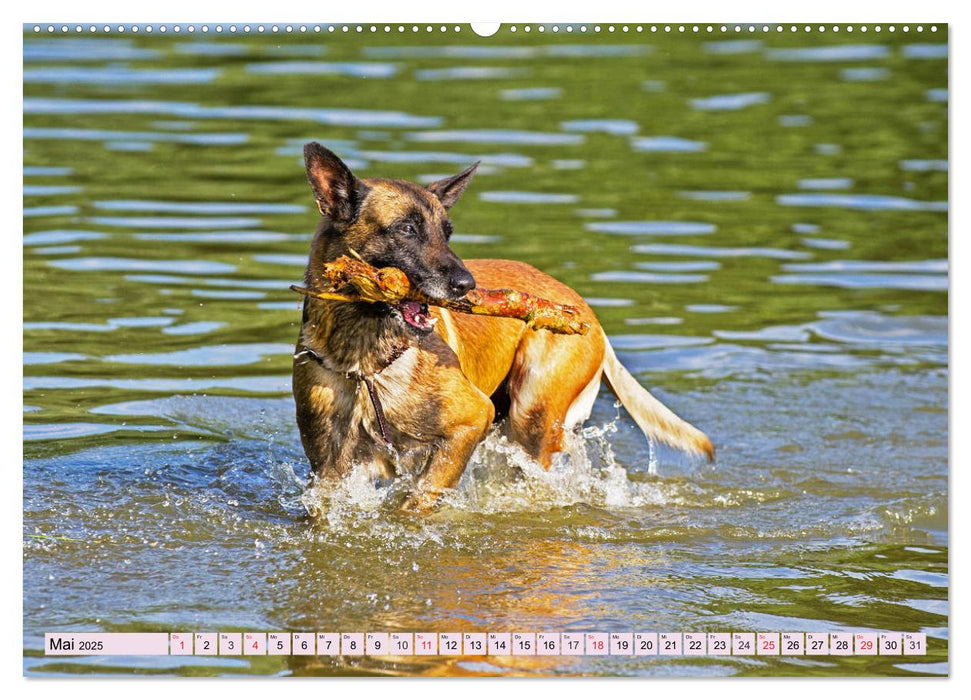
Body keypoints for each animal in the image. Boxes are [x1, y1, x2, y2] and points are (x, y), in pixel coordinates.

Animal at [292, 142, 712, 516]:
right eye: (407, 229)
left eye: (447, 232)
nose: (466, 285)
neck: (364, 361)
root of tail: (585, 311)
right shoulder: (329, 469)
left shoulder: (470, 420)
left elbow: (422, 495)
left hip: (532, 416)